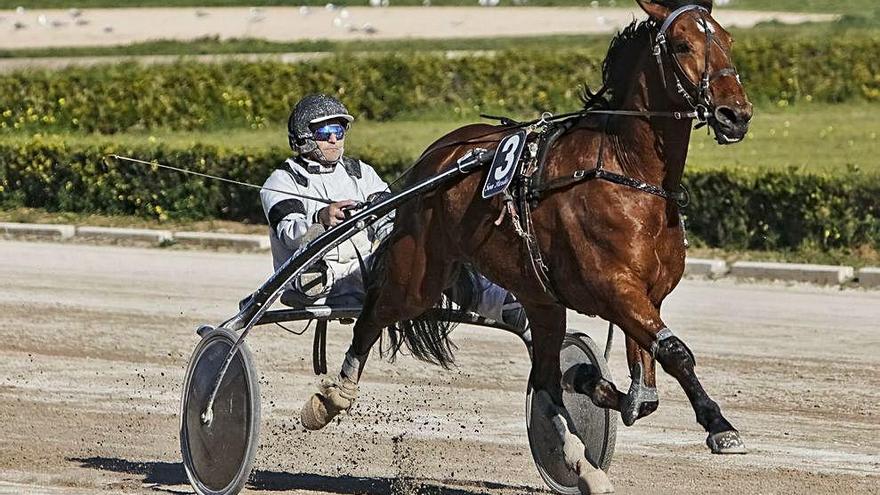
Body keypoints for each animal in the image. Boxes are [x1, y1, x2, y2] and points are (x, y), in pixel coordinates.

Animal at [300, 0, 748, 492]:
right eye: (684, 44)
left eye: (727, 38)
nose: (736, 113)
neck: (627, 172)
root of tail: (434, 157)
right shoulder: (614, 288)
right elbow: (675, 352)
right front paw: (720, 427)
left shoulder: (646, 296)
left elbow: (642, 390)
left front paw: (594, 381)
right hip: (418, 272)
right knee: (373, 315)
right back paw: (331, 398)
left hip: (541, 298)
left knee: (548, 379)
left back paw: (582, 461)